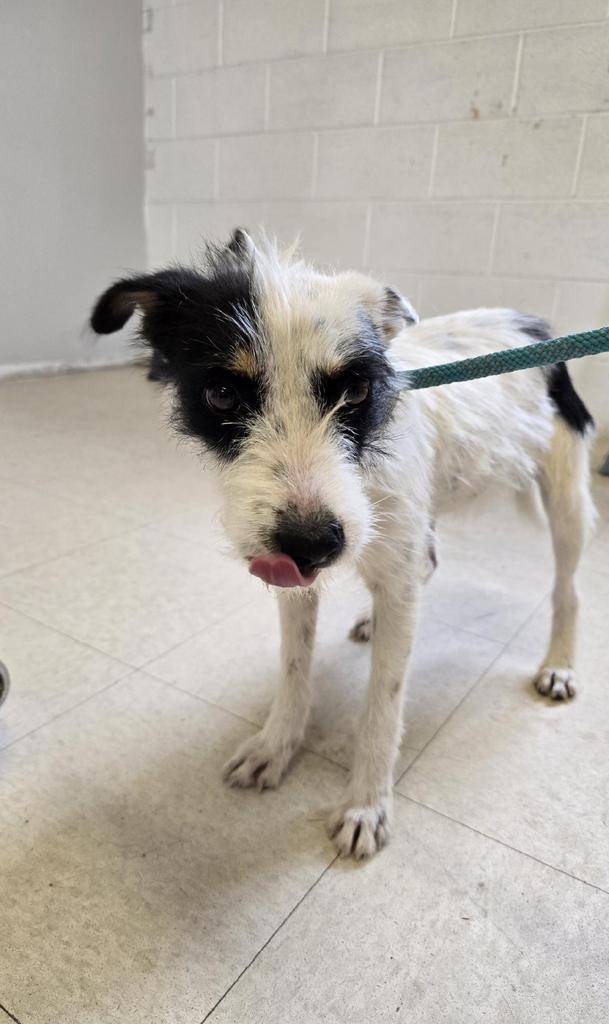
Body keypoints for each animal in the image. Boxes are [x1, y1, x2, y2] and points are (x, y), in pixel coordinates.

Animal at [93, 228, 597, 860]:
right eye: (222, 394)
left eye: (356, 389)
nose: (312, 544)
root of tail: (532, 324)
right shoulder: (293, 577)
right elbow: (293, 667)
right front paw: (277, 745)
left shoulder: (391, 577)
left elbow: (383, 702)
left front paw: (366, 805)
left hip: (566, 494)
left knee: (568, 589)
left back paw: (559, 665)